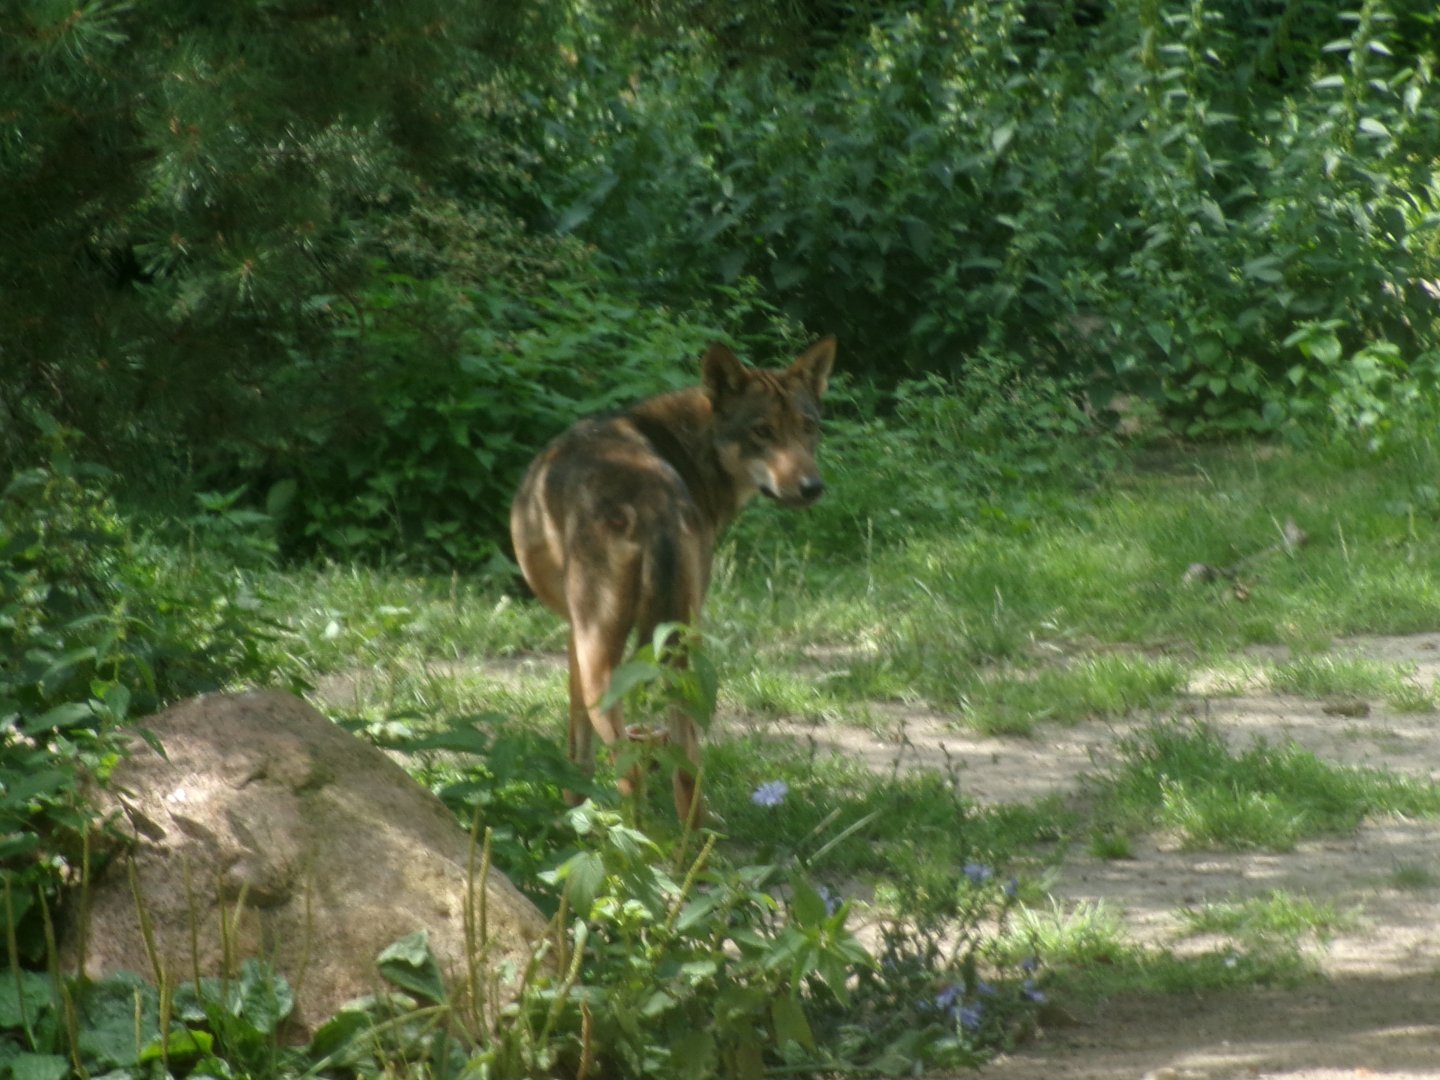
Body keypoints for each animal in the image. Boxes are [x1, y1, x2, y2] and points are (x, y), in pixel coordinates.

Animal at [510, 337, 837, 825]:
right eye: (762, 431)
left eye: (807, 426)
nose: (812, 487)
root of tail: (652, 504)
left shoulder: (573, 637)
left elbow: (576, 739)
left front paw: (573, 806)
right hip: (685, 655)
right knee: (688, 768)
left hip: (601, 660)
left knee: (630, 769)